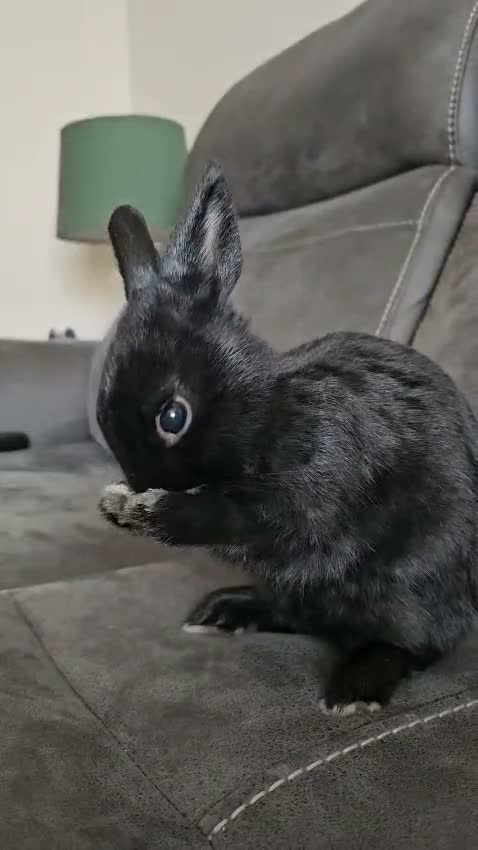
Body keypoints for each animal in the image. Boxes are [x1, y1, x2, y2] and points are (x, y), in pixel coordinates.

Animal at [98, 161, 478, 715]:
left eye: (173, 416)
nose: (142, 482)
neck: (266, 416)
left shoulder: (312, 494)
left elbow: (235, 515)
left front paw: (141, 510)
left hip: (410, 588)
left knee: (411, 645)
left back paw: (354, 691)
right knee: (292, 614)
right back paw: (222, 612)